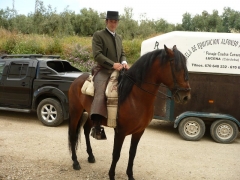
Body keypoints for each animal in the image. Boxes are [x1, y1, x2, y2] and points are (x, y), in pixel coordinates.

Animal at [68, 44, 191, 179]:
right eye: (176, 67)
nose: (186, 96)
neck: (135, 97)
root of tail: (76, 80)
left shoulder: (139, 132)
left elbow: (132, 153)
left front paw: (130, 175)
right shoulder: (120, 132)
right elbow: (116, 154)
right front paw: (112, 175)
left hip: (91, 114)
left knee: (85, 130)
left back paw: (90, 156)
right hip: (75, 112)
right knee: (73, 135)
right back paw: (75, 162)